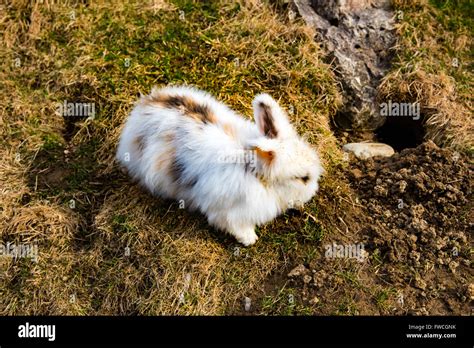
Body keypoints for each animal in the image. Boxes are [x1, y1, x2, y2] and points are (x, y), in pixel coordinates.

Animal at [115, 85, 322, 246]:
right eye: (302, 178)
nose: (313, 192)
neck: (254, 172)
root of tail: (142, 109)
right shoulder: (229, 213)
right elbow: (236, 226)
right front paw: (250, 239)